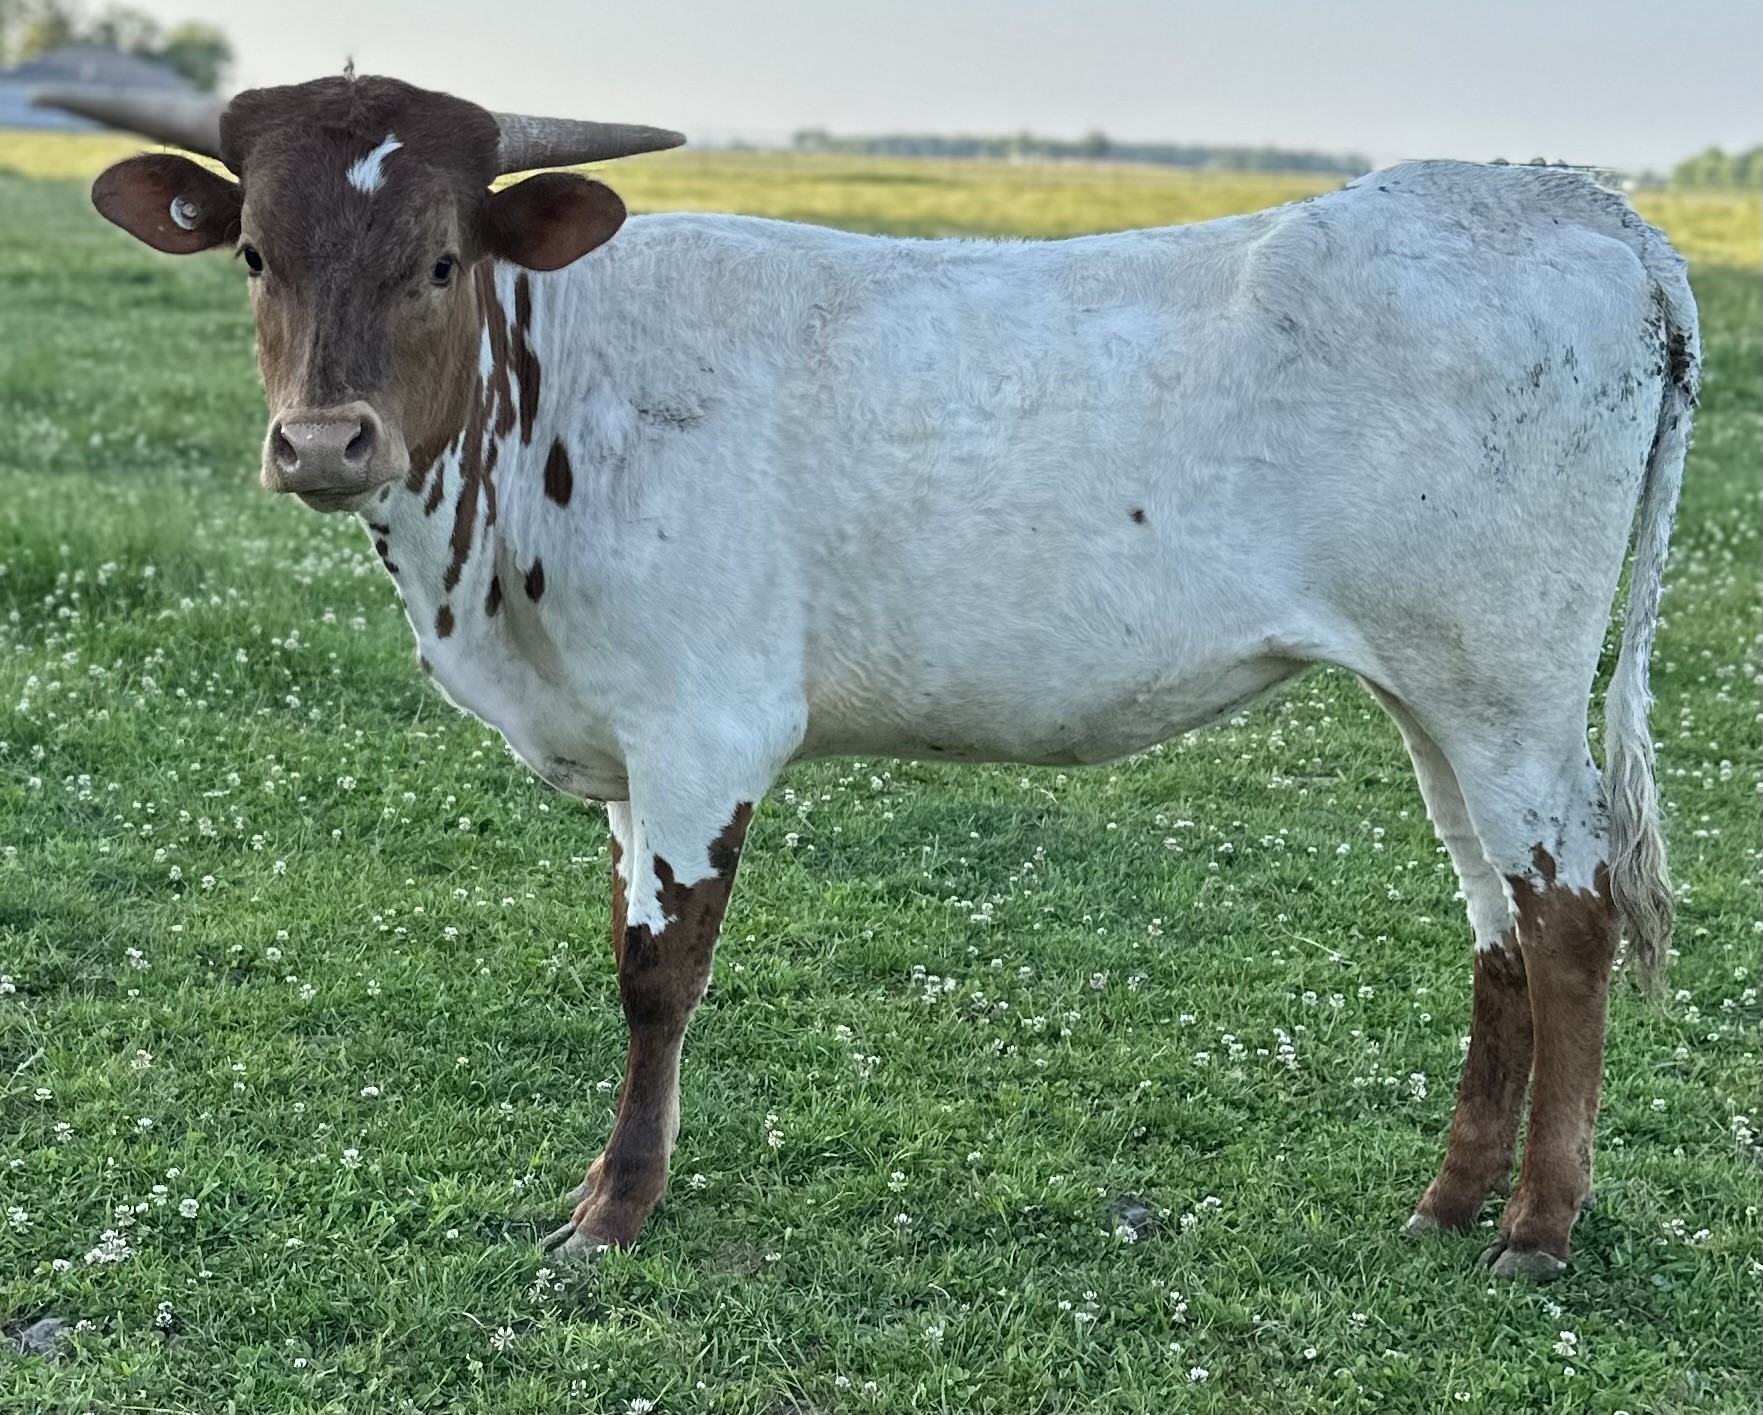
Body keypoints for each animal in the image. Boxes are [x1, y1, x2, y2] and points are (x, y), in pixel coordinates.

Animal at [41, 72, 1697, 1282]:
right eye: (257, 252)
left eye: (443, 258)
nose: (325, 441)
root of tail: (1570, 198)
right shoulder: (627, 750)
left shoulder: (702, 727)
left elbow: (655, 975)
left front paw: (611, 1212)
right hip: (1431, 692)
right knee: (1493, 922)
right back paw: (1445, 1200)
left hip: (1507, 685)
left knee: (1566, 914)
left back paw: (1535, 1229)